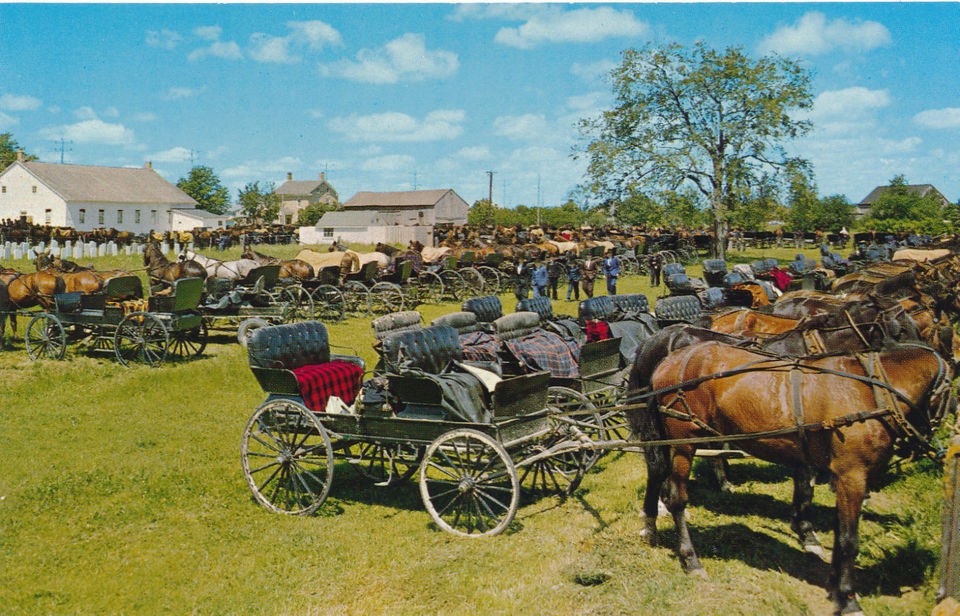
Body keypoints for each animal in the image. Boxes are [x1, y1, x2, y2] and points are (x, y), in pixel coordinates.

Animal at [632, 342, 956, 616]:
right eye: (952, 396)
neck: (871, 392)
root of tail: (669, 361)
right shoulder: (852, 476)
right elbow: (849, 540)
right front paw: (849, 599)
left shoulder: (840, 477)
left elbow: (838, 532)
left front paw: (834, 589)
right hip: (684, 440)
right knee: (677, 499)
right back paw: (691, 560)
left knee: (658, 476)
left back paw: (651, 528)